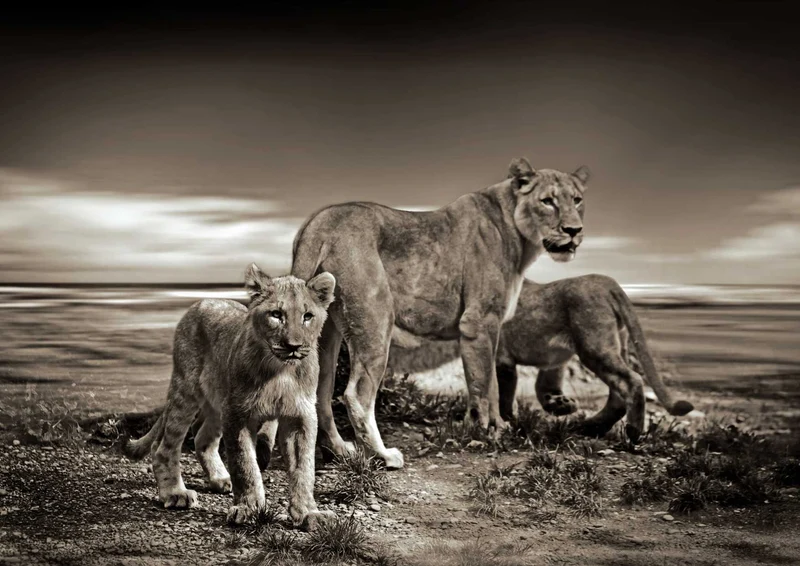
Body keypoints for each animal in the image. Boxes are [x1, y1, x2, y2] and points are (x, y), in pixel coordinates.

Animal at [121, 263, 336, 529]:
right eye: (276, 314)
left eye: (307, 316)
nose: (293, 346)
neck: (280, 370)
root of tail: (203, 301)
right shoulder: (238, 414)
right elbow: (245, 464)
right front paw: (249, 508)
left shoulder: (300, 416)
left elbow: (304, 469)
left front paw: (309, 513)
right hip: (186, 390)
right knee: (164, 447)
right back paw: (175, 493)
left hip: (218, 402)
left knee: (203, 438)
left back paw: (221, 478)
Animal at [288, 157, 630, 470]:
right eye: (547, 201)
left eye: (577, 199)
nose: (573, 231)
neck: (517, 233)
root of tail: (317, 224)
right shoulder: (479, 321)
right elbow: (485, 384)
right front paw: (489, 432)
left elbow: (487, 383)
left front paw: (490, 426)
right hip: (376, 319)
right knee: (357, 395)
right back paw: (383, 456)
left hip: (327, 332)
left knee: (320, 393)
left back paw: (339, 451)